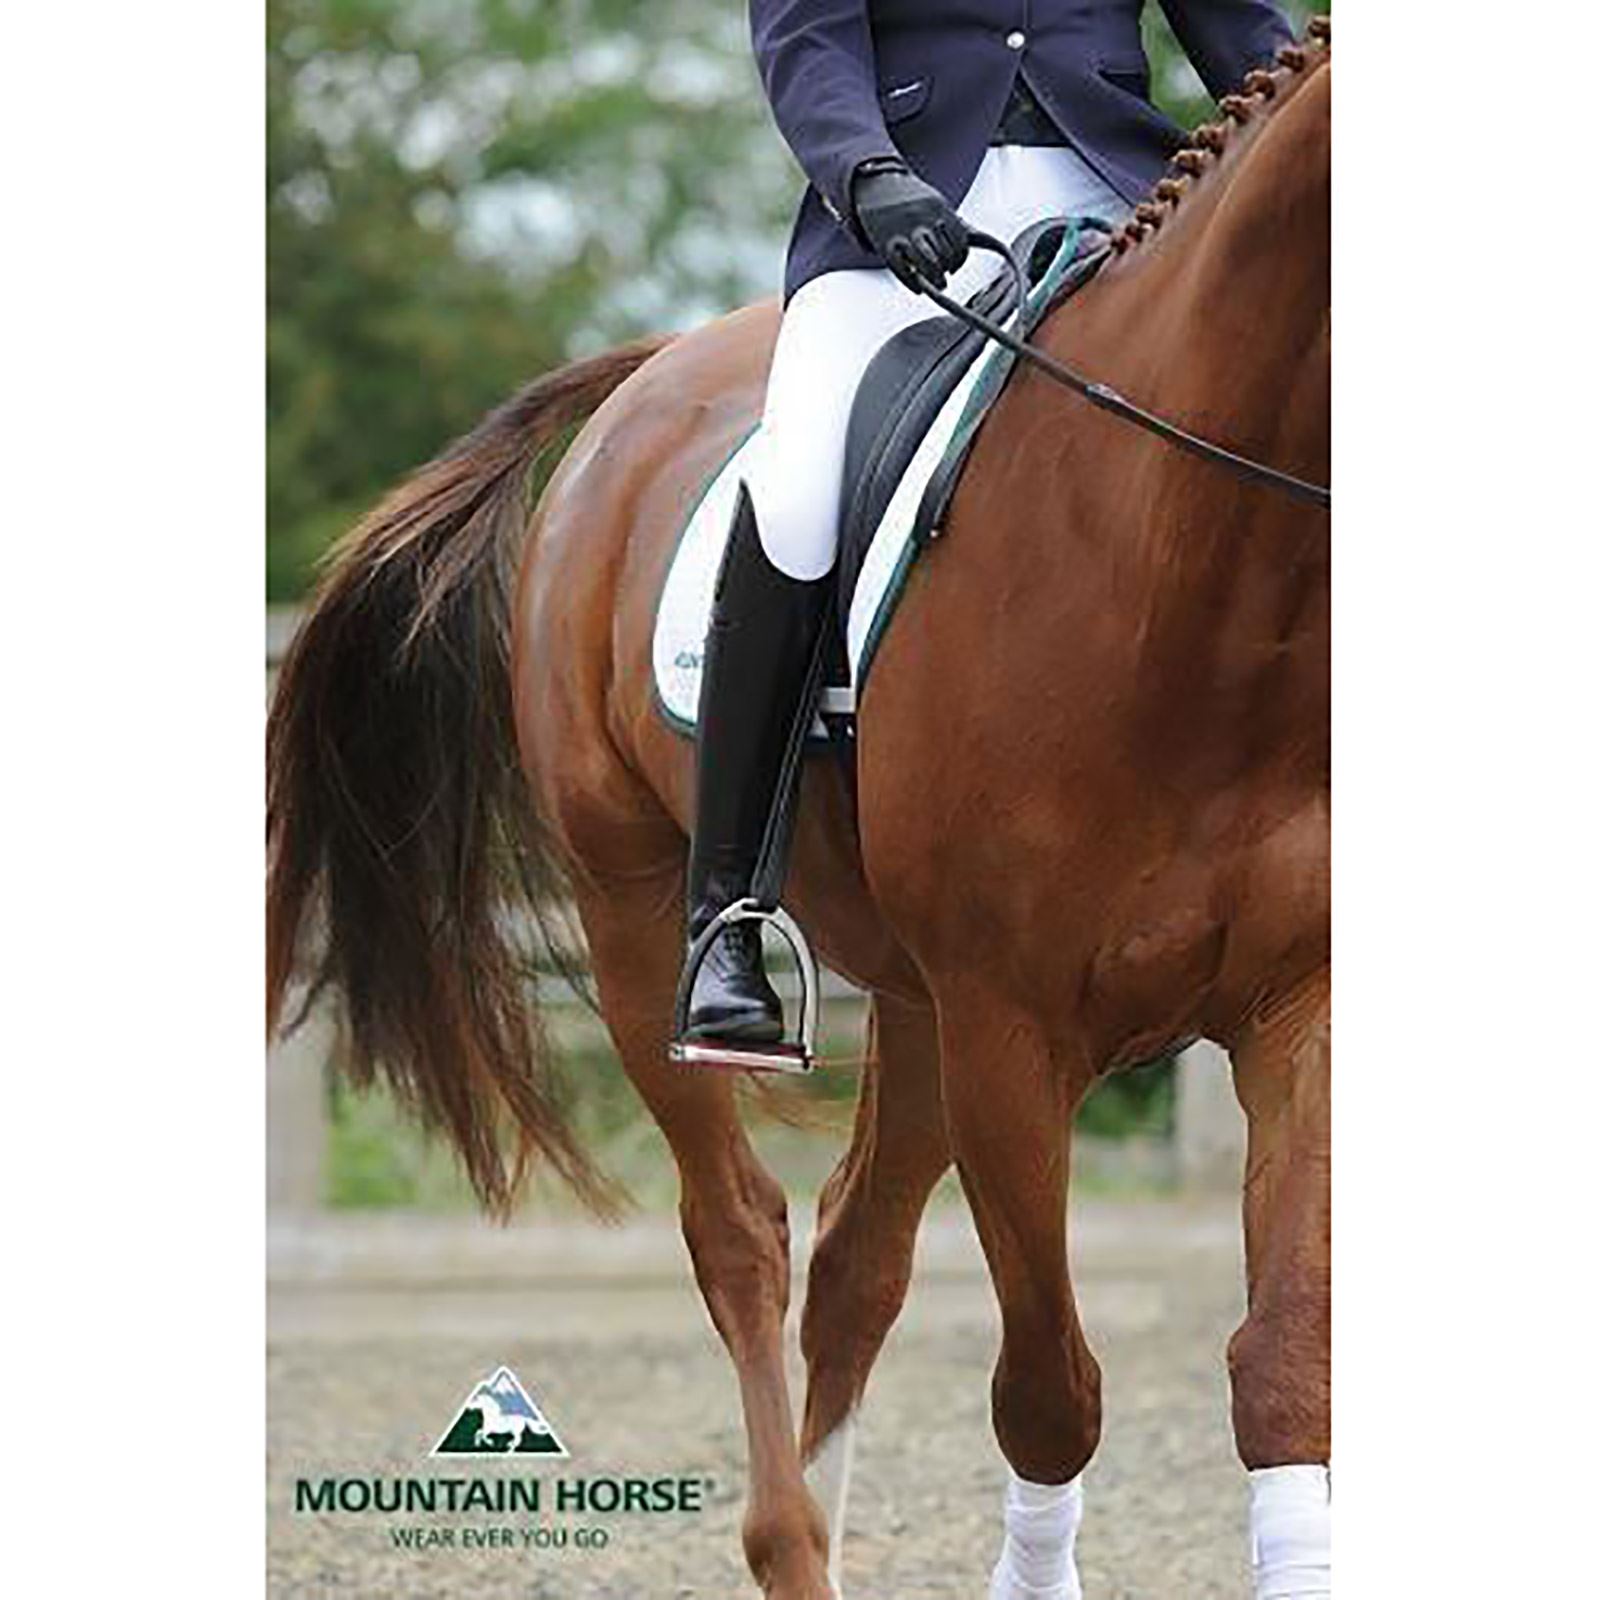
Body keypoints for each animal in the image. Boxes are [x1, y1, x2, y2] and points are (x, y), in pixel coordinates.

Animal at [268, 21, 1330, 1598]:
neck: (1194, 570)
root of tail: (655, 374)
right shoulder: (1014, 1030)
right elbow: (1050, 1391)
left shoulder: (1289, 1012)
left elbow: (1281, 1373)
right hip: (638, 917)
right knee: (745, 1236)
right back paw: (785, 1533)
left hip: (913, 996)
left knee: (854, 1262)